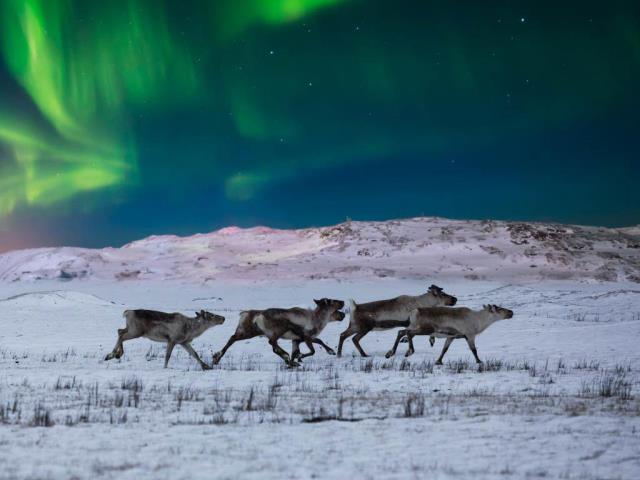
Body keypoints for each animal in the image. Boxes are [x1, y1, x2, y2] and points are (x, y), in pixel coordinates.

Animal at [212, 298, 345, 368]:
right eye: (331, 301)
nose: (343, 302)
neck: (317, 319)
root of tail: (258, 316)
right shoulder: (306, 336)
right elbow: (312, 350)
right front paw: (298, 358)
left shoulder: (297, 339)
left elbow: (307, 346)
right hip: (276, 331)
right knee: (272, 343)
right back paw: (285, 356)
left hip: (249, 331)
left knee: (232, 337)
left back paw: (216, 358)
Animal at [385, 304, 514, 364]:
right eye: (499, 309)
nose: (511, 312)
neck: (479, 321)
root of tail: (414, 312)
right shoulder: (469, 335)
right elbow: (474, 350)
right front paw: (479, 361)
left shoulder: (451, 337)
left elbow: (444, 350)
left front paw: (438, 361)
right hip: (425, 329)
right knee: (409, 333)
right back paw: (409, 351)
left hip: (413, 325)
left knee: (401, 331)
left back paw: (390, 353)